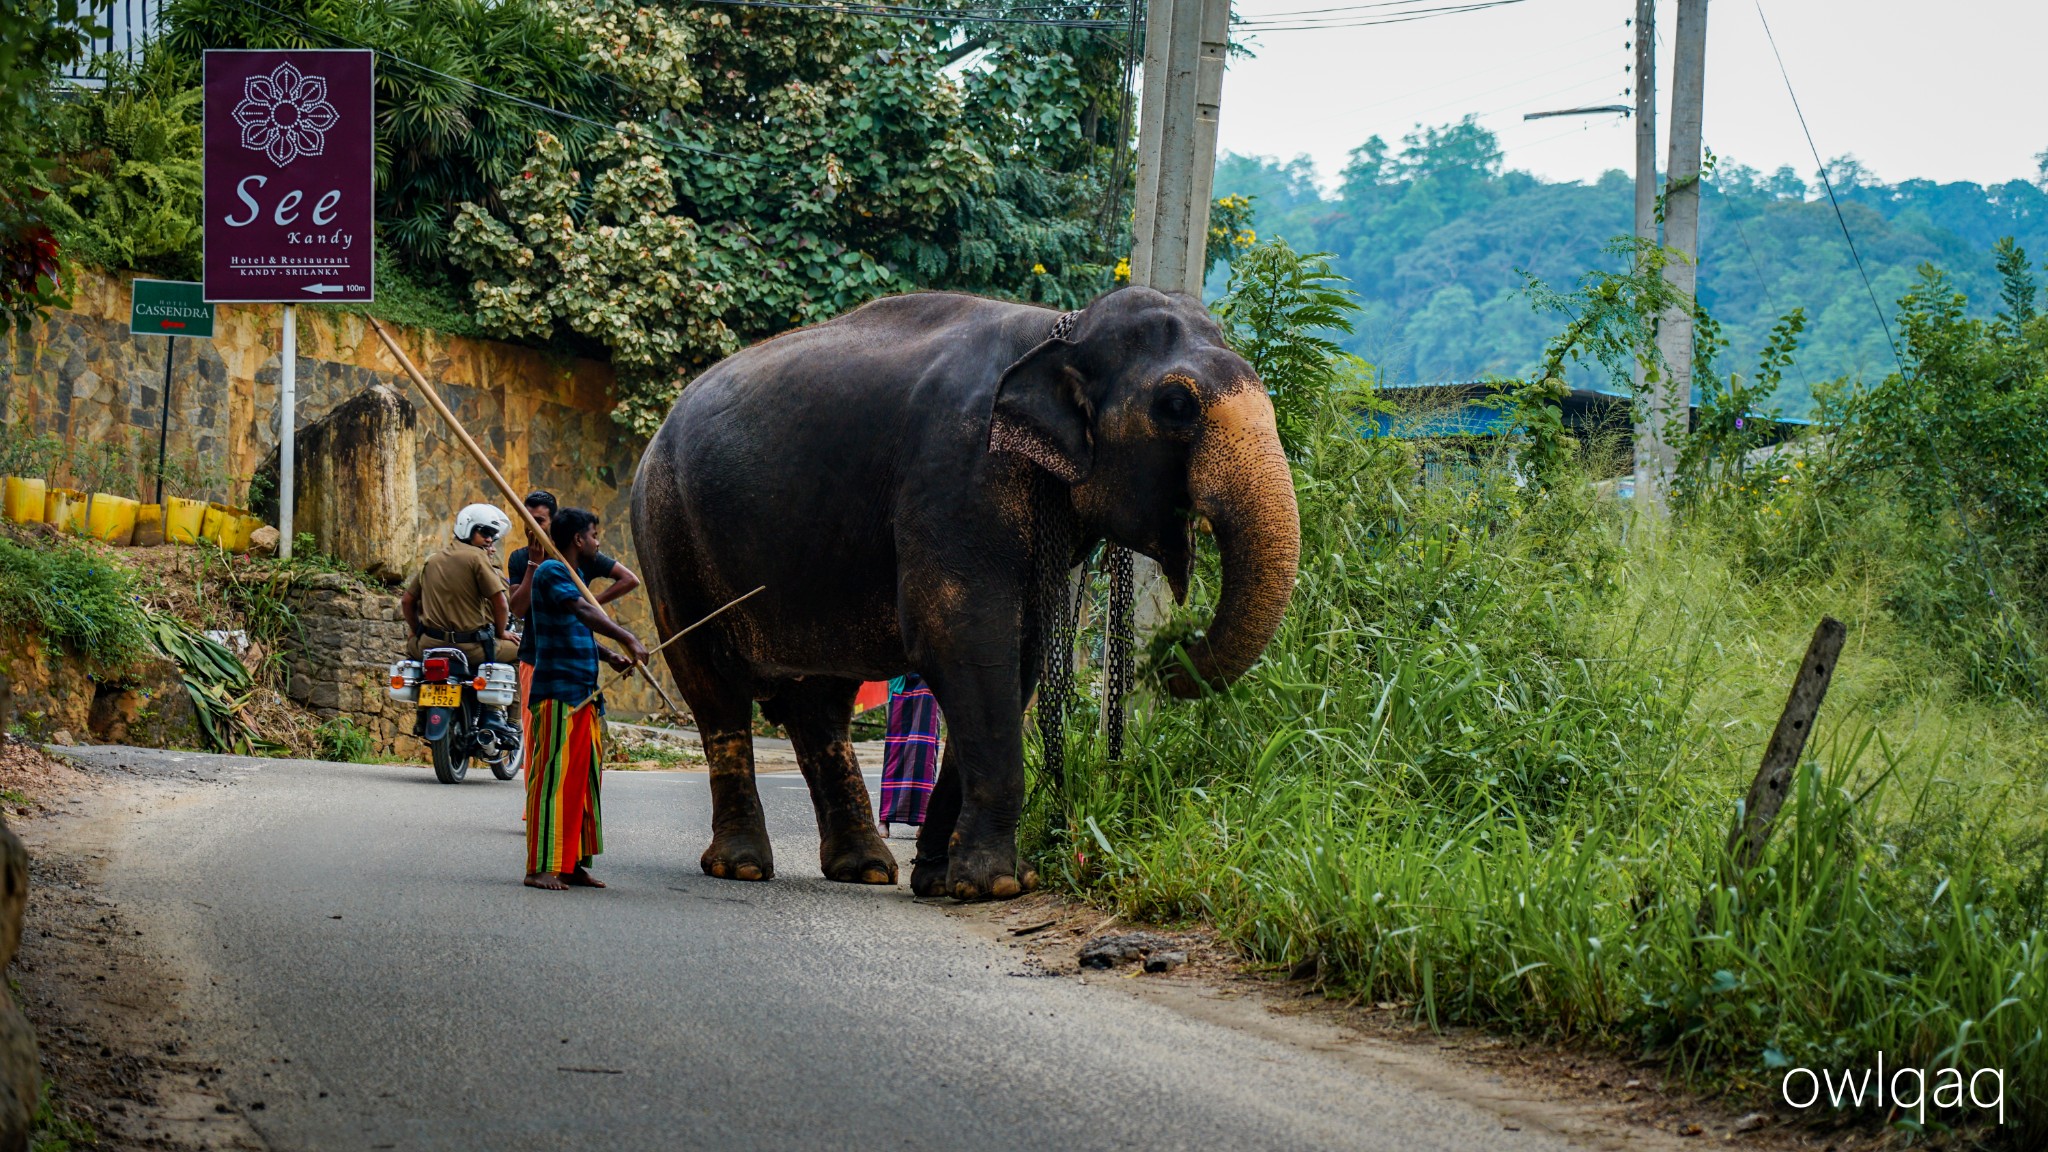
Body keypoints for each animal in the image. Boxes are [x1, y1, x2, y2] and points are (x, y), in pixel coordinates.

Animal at [626, 286, 1294, 897]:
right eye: (1176, 405)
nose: (1173, 656)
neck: (1060, 328)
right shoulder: (958, 472)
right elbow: (964, 644)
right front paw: (994, 885)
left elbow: (1015, 660)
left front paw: (942, 880)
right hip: (665, 531)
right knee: (713, 688)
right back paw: (741, 866)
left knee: (820, 704)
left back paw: (866, 870)